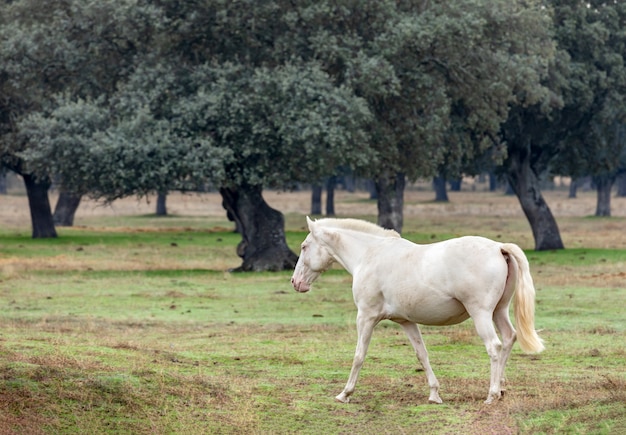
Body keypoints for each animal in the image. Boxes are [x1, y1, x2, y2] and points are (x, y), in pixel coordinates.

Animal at [292, 218, 540, 406]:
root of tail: (498, 247)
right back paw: (501, 388)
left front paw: (345, 393)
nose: (296, 282)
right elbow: (422, 355)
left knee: (494, 346)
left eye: (304, 247)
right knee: (508, 338)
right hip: (499, 311)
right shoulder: (406, 322)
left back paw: (491, 394)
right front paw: (434, 394)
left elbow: (359, 356)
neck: (370, 254)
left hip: (481, 314)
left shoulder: (366, 317)